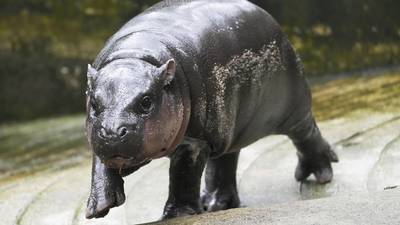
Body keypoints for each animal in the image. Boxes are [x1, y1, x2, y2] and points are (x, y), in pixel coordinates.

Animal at [84, 0, 338, 220]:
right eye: (94, 103)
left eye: (146, 101)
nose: (112, 132)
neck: (135, 57)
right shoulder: (97, 135)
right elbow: (100, 165)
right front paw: (98, 208)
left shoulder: (195, 141)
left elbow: (184, 176)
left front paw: (178, 215)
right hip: (230, 127)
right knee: (225, 160)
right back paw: (215, 204)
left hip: (292, 106)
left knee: (306, 132)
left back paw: (320, 174)